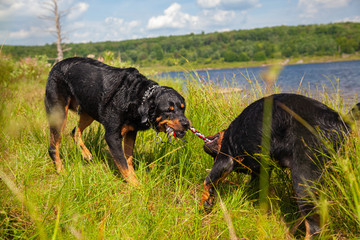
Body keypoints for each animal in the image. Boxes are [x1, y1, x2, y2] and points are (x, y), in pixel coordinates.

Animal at [44, 57, 191, 186]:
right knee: (53, 146)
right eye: (169, 111)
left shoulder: (131, 132)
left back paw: (86, 154)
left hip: (88, 111)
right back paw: (61, 171)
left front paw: (134, 179)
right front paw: (137, 187)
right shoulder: (112, 137)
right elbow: (123, 164)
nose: (186, 124)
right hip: (59, 114)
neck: (137, 97)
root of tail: (56, 65)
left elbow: (128, 160)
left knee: (75, 131)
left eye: (183, 108)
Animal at [201, 93, 358, 238]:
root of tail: (339, 121)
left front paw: (205, 202)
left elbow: (208, 180)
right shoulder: (261, 171)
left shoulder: (225, 157)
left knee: (314, 228)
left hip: (303, 178)